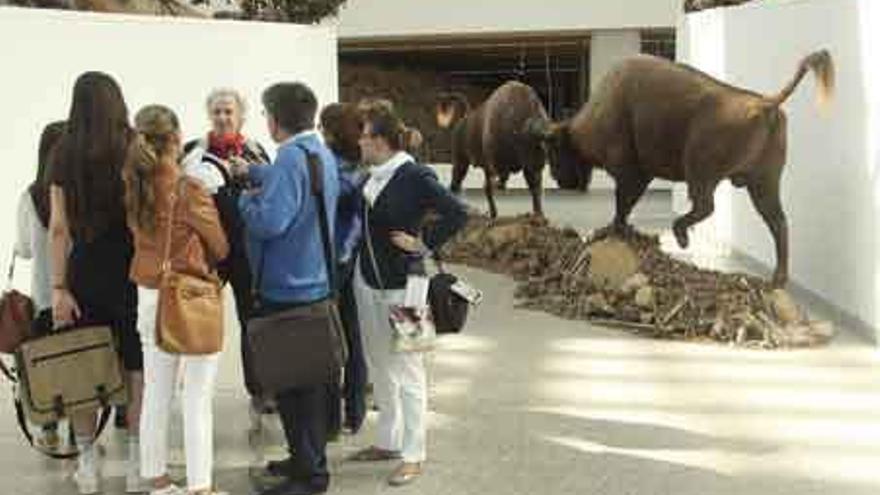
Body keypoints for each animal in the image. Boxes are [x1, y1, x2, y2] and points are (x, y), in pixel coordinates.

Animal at [436, 81, 552, 217]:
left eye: (543, 143)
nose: (541, 160)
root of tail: (463, 120)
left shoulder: (529, 169)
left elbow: (534, 191)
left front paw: (539, 214)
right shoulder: (498, 165)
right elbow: (499, 181)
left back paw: (492, 212)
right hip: (461, 162)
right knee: (456, 184)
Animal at [548, 50, 836, 286]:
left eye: (554, 150)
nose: (554, 176)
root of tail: (765, 103)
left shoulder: (630, 173)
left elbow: (622, 204)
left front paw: (610, 231)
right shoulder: (641, 176)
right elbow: (626, 205)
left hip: (702, 171)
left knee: (706, 206)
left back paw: (681, 236)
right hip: (763, 182)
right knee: (777, 221)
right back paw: (778, 279)